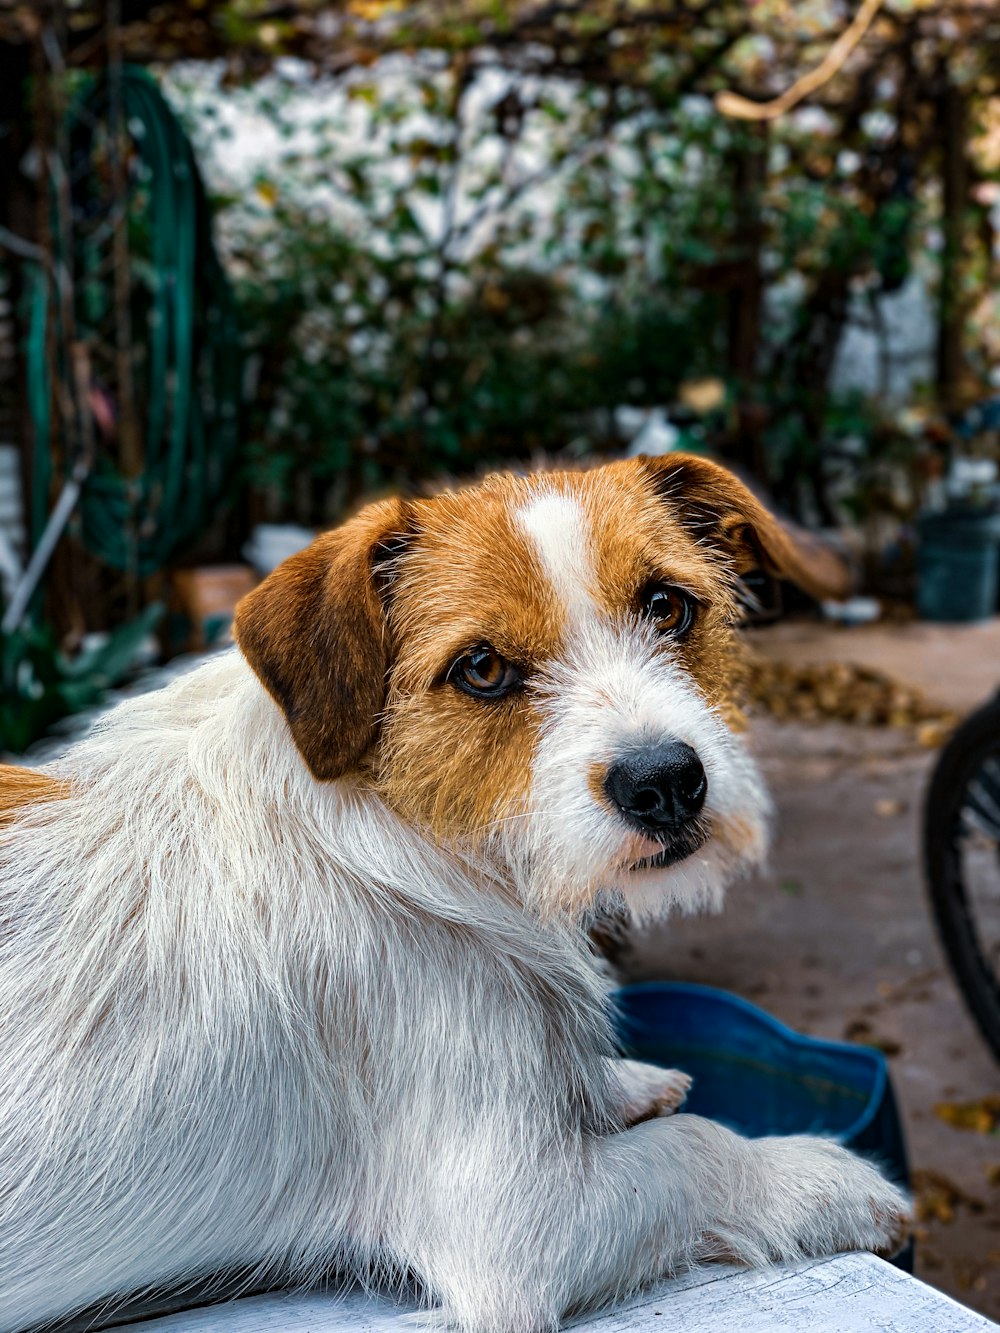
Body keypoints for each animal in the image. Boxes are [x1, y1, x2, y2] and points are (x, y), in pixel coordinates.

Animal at [0, 455, 912, 1333]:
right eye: (482, 668)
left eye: (668, 606)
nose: (666, 784)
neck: (405, 831)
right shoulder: (518, 1223)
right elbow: (698, 1145)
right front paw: (825, 1179)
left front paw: (617, 1084)